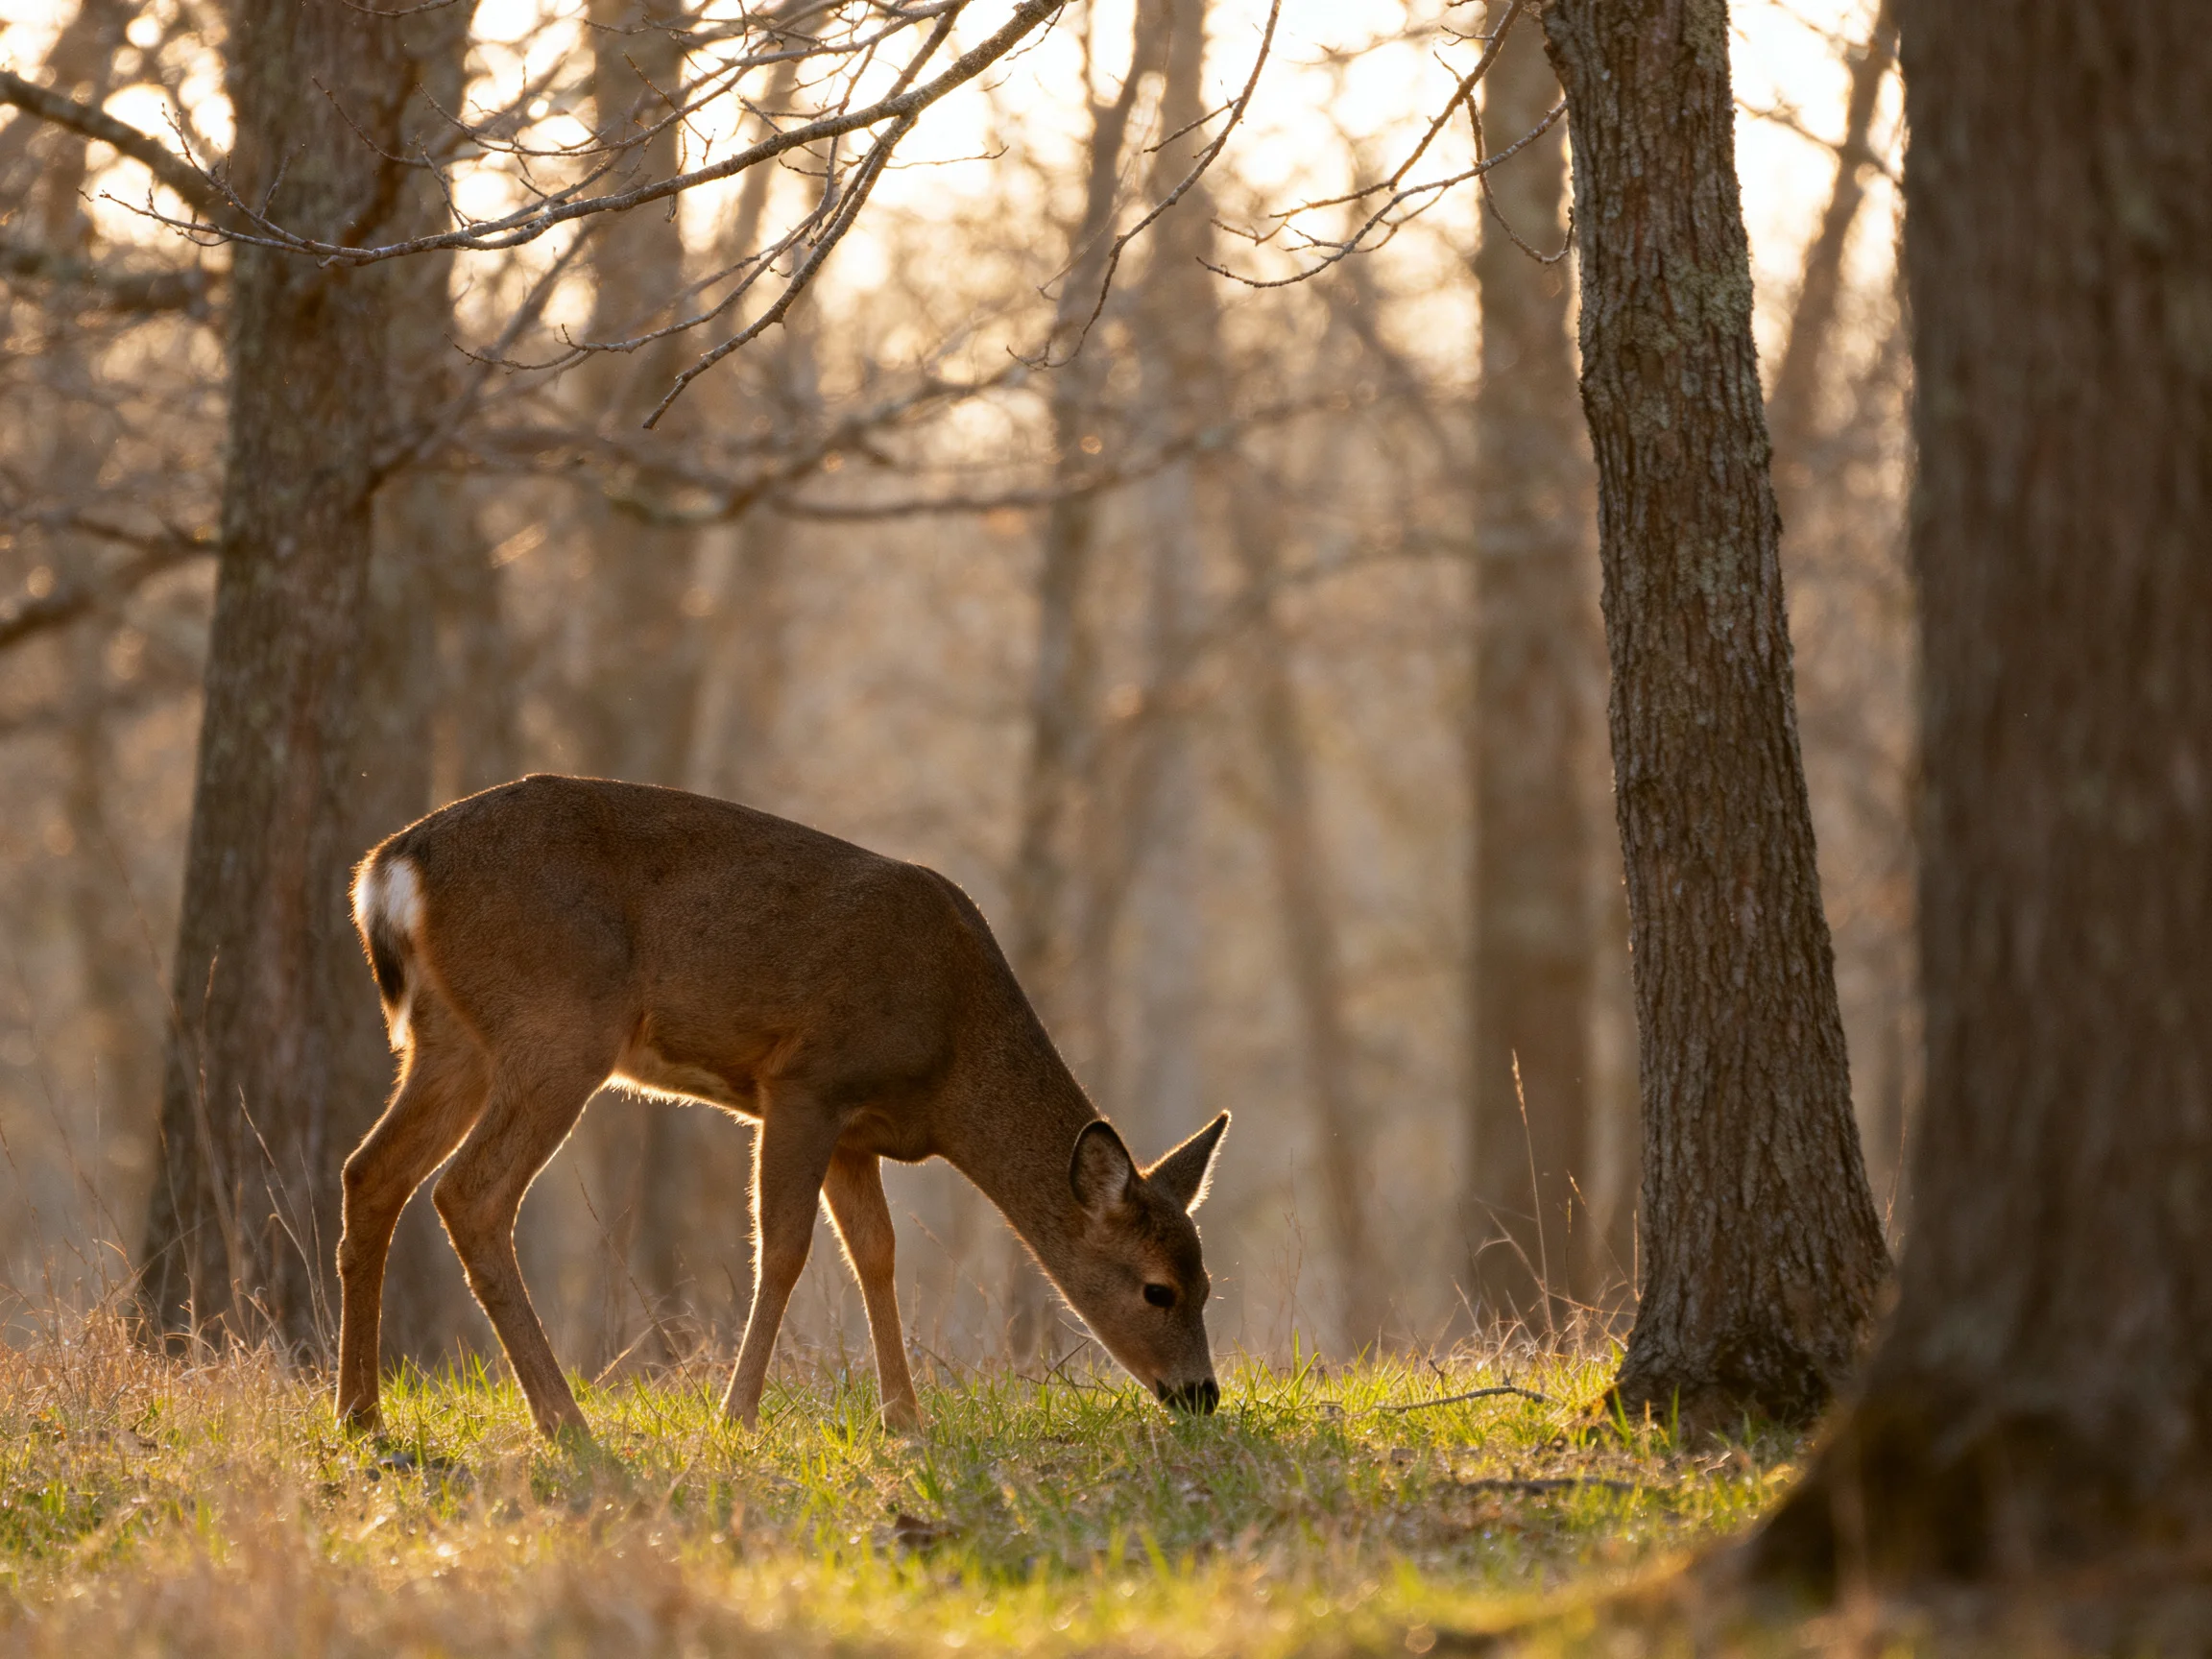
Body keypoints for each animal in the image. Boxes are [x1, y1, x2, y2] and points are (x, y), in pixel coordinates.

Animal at [336, 773, 1230, 1439]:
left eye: (1208, 1283)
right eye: (1158, 1290)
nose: (1201, 1394)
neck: (952, 1059)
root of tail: (389, 869)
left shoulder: (856, 1132)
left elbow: (876, 1251)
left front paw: (903, 1419)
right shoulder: (805, 1082)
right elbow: (786, 1247)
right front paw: (737, 1415)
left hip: (448, 1039)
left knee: (369, 1172)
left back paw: (361, 1414)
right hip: (557, 1025)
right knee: (469, 1193)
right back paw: (564, 1422)